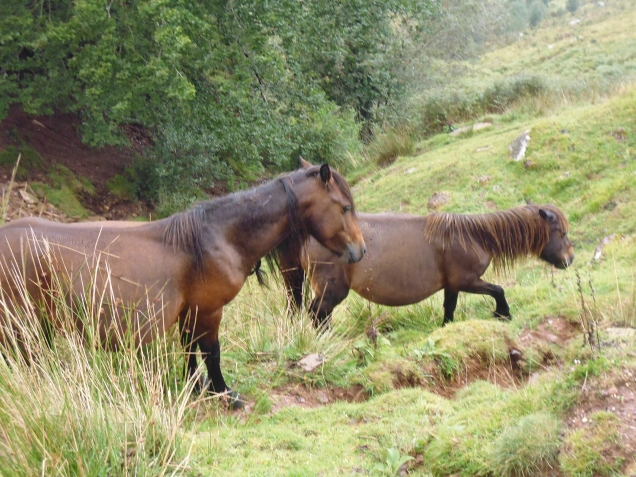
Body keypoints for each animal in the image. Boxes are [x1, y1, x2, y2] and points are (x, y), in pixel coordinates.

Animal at [0, 162, 366, 408]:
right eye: (345, 207)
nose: (360, 251)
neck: (215, 239)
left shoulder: (190, 312)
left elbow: (189, 351)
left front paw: (194, 387)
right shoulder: (209, 311)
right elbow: (211, 353)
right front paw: (224, 394)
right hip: (19, 328)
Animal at [280, 203, 572, 330]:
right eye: (562, 232)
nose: (570, 259)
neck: (474, 237)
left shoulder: (452, 285)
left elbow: (449, 308)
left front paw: (446, 329)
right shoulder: (467, 281)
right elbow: (498, 290)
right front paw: (503, 314)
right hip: (332, 290)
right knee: (318, 313)